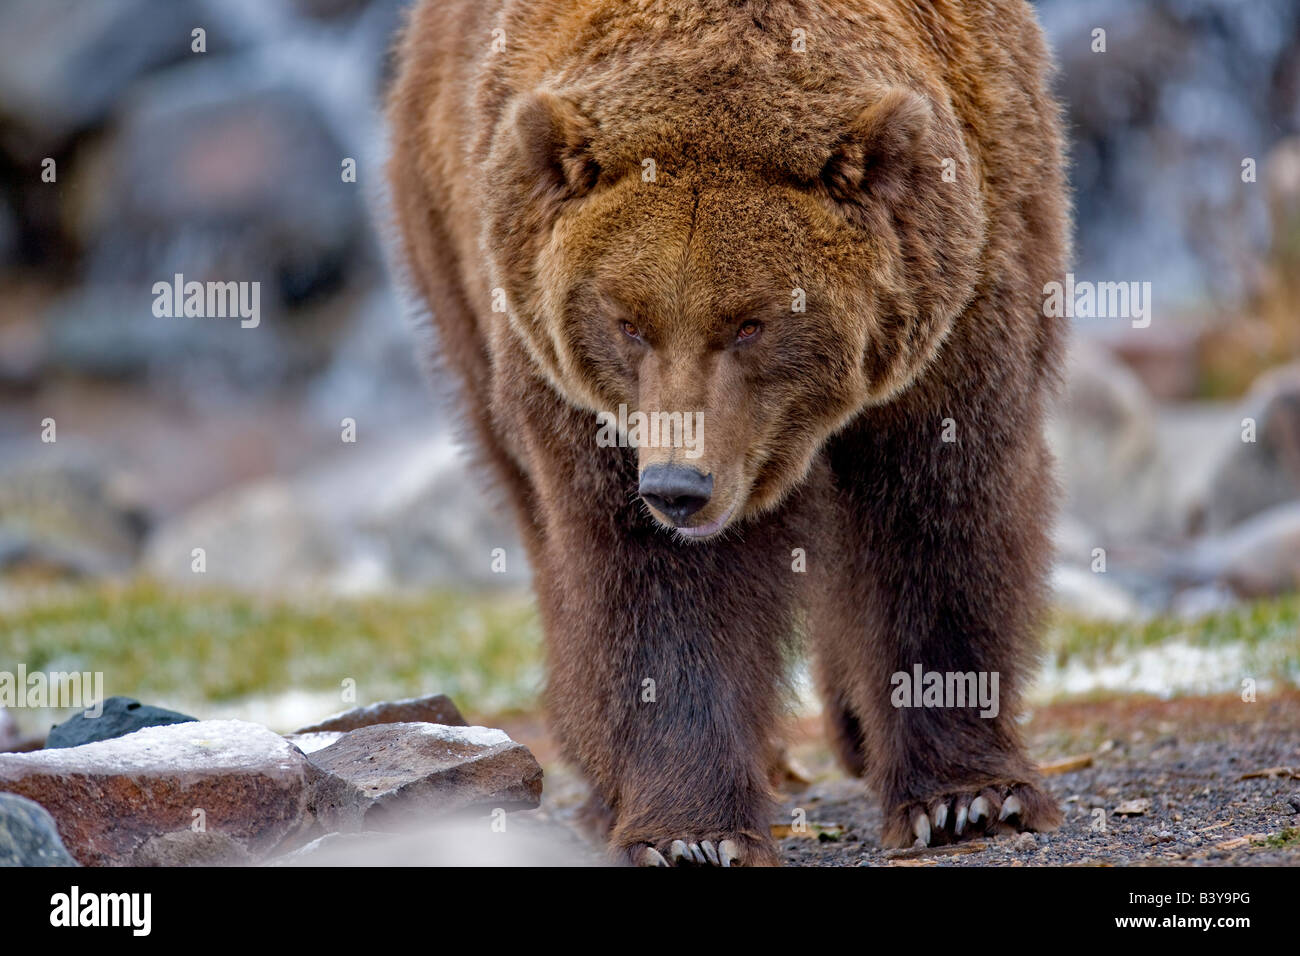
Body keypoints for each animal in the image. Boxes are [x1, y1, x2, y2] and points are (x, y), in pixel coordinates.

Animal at [384, 0, 1066, 868]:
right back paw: (602, 786)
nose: (679, 487)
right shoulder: (593, 404)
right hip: (455, 263)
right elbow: (657, 591)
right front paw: (691, 833)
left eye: (750, 323)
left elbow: (936, 521)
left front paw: (968, 797)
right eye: (628, 321)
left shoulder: (965, 299)